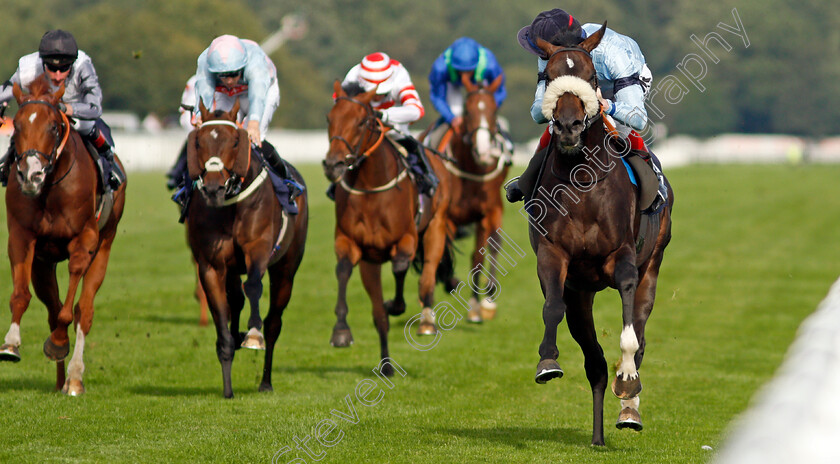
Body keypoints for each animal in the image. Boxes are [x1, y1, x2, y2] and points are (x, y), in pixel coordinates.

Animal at [0, 75, 126, 396]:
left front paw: (58, 344)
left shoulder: (85, 240)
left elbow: (70, 311)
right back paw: (59, 380)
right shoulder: (22, 235)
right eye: (16, 124)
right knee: (52, 307)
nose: (31, 176)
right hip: (43, 266)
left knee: (84, 310)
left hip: (106, 245)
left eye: (54, 127)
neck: (52, 188)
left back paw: (74, 378)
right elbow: (21, 295)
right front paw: (11, 344)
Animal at [185, 99, 310, 396]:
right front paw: (228, 387)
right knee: (236, 299)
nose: (213, 188)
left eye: (234, 142)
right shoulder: (212, 264)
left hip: (286, 269)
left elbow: (253, 286)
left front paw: (253, 334)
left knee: (274, 322)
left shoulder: (258, 250)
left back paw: (265, 381)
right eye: (199, 142)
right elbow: (222, 312)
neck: (232, 206)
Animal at [322, 80, 452, 376]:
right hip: (371, 263)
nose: (333, 164)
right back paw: (386, 365)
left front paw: (396, 304)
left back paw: (426, 322)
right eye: (329, 119)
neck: (371, 189)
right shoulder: (351, 244)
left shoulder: (407, 239)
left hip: (435, 228)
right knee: (378, 316)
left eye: (361, 122)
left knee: (426, 280)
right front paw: (341, 331)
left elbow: (401, 266)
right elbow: (343, 270)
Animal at [424, 74, 508, 324]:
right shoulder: (448, 215)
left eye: (494, 110)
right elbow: (443, 249)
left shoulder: (491, 209)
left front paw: (487, 300)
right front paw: (449, 281)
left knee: (476, 256)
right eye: (467, 111)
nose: (484, 151)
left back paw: (476, 306)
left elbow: (491, 247)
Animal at [528, 25, 672, 446]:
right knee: (593, 361)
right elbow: (552, 306)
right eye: (548, 76)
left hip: (653, 265)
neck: (583, 181)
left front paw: (627, 378)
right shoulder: (554, 256)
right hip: (583, 293)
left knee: (639, 331)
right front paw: (547, 362)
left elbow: (629, 330)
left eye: (592, 76)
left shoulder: (622, 255)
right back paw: (597, 435)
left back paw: (629, 410)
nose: (569, 127)